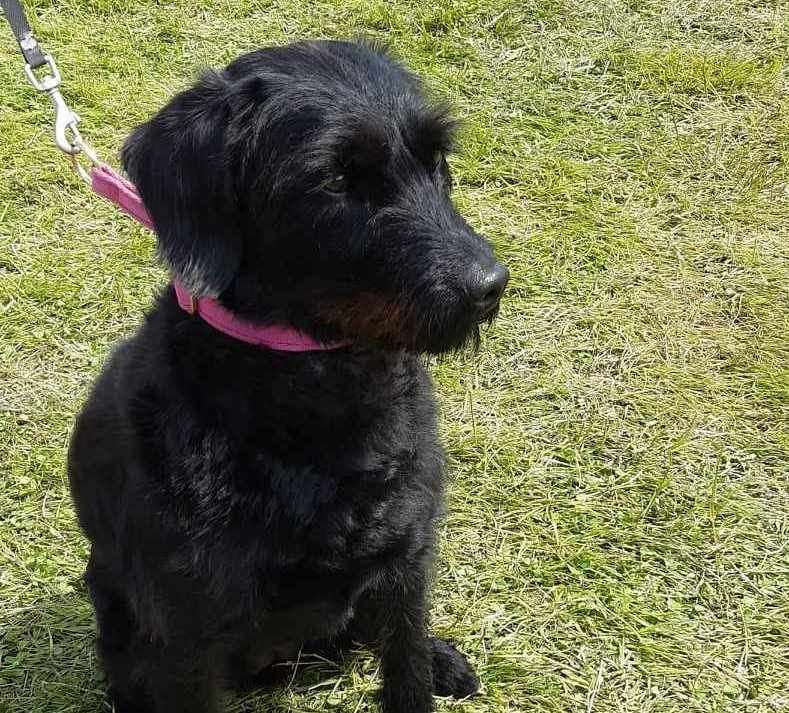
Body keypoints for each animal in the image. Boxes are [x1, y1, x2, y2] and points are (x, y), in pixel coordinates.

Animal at [71, 40, 508, 712]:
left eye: (436, 158)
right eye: (334, 179)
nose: (489, 286)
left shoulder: (408, 561)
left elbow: (406, 660)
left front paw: (426, 666)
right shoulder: (186, 635)